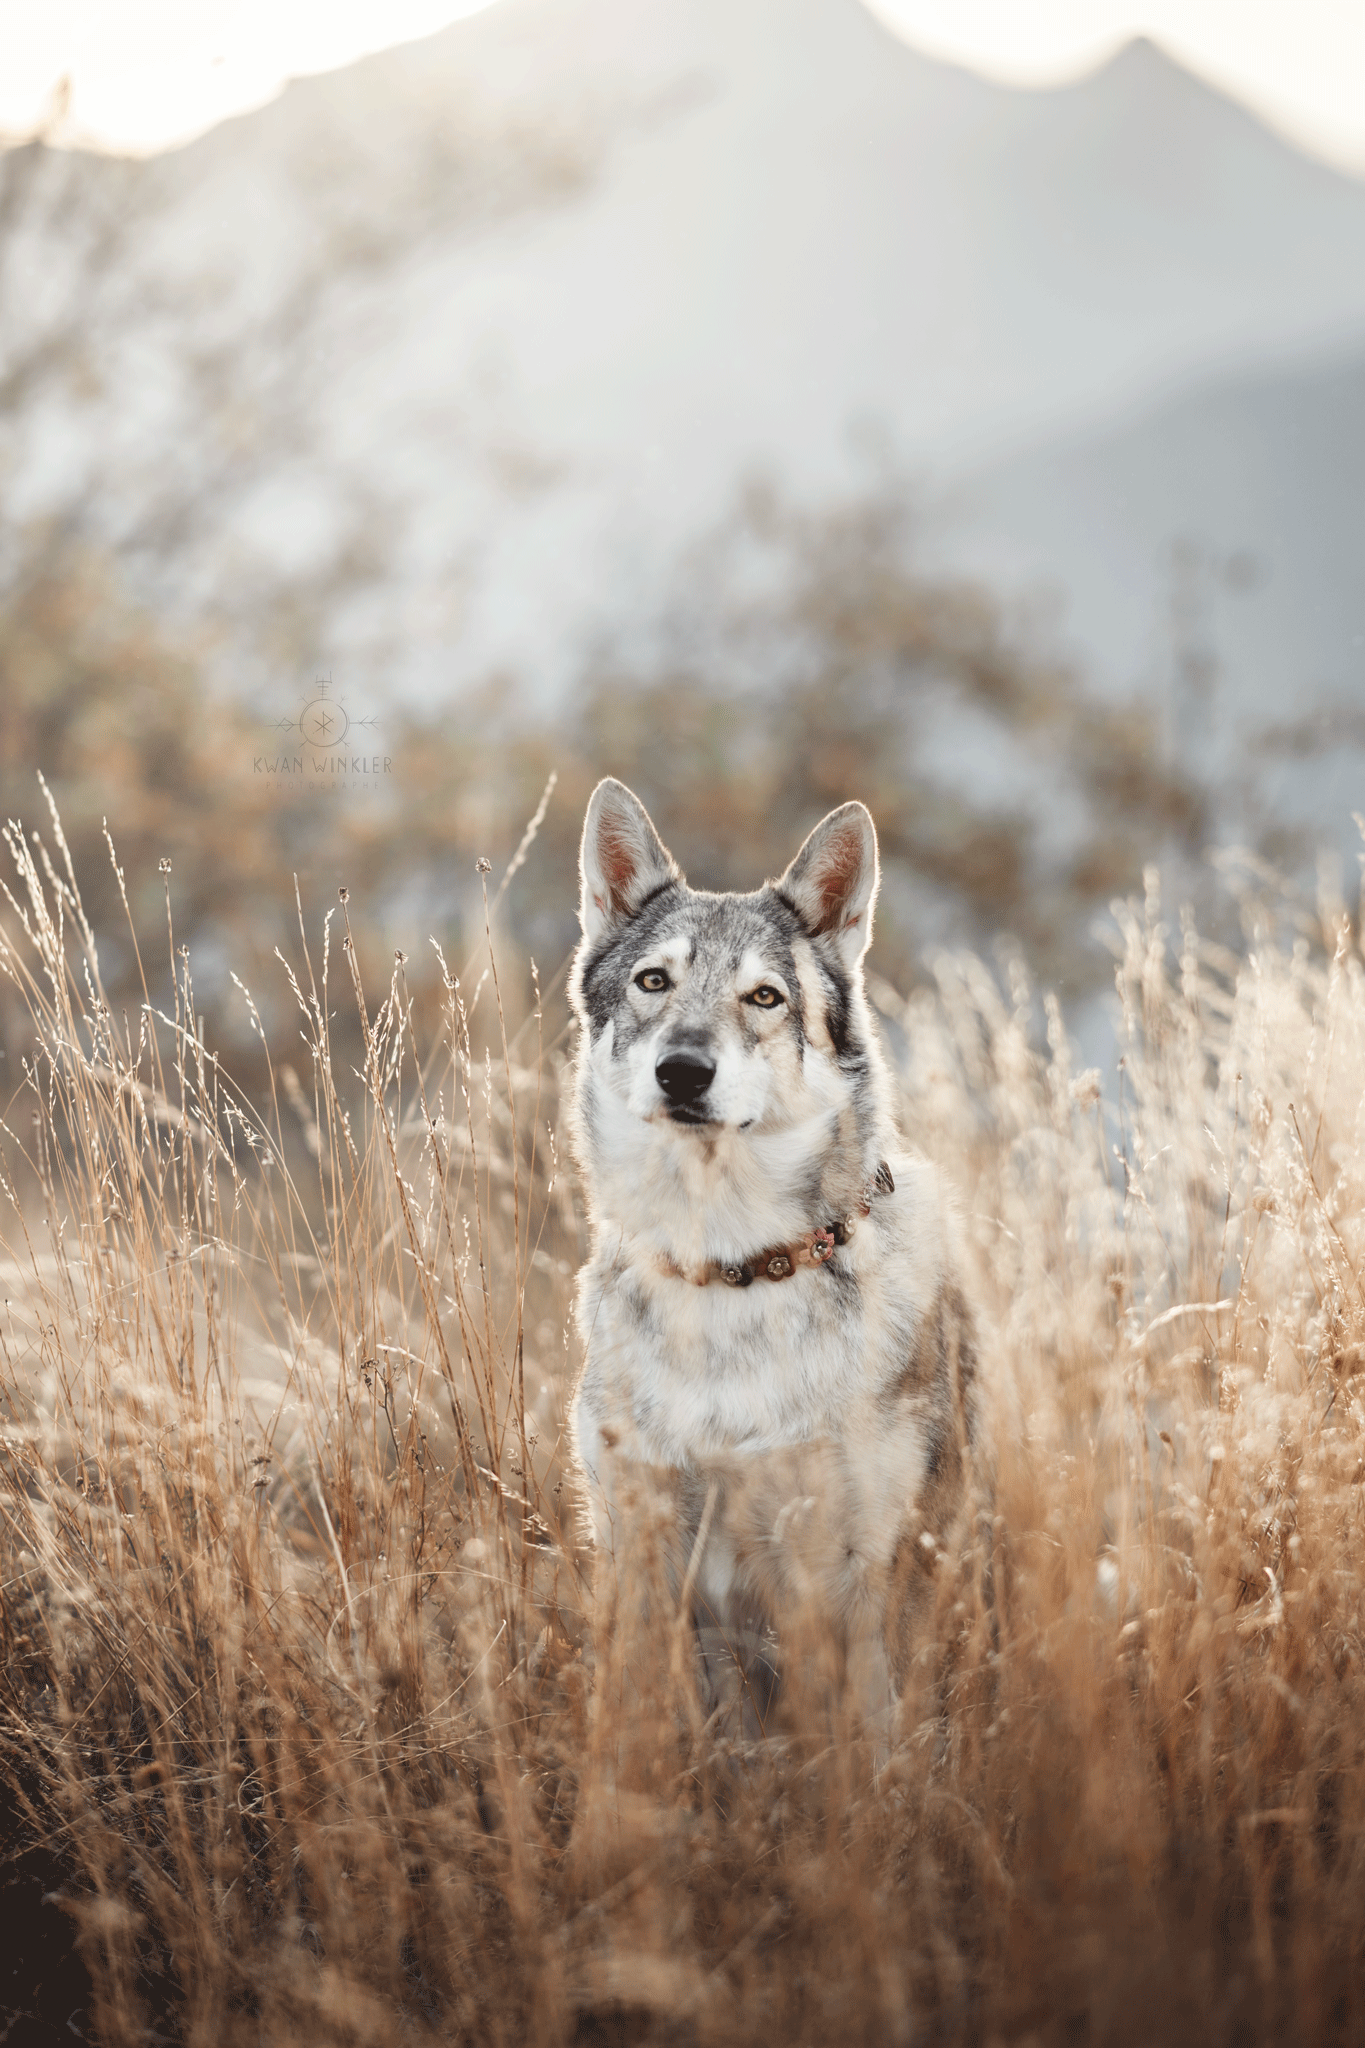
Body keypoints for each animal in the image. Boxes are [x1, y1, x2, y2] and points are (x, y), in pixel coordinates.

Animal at [567, 778, 978, 1725]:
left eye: (762, 998)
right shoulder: (639, 1562)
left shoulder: (849, 1587)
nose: (683, 1071)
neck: (728, 1272)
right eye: (653, 983)